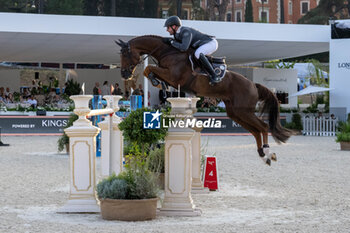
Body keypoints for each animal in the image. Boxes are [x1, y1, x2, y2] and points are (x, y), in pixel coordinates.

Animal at [115, 35, 292, 166]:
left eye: (125, 54)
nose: (124, 74)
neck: (168, 52)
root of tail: (253, 84)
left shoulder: (173, 76)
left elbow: (148, 68)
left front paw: (156, 81)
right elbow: (149, 71)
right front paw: (159, 84)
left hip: (244, 111)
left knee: (263, 127)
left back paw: (268, 153)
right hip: (236, 113)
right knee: (255, 130)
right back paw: (263, 155)